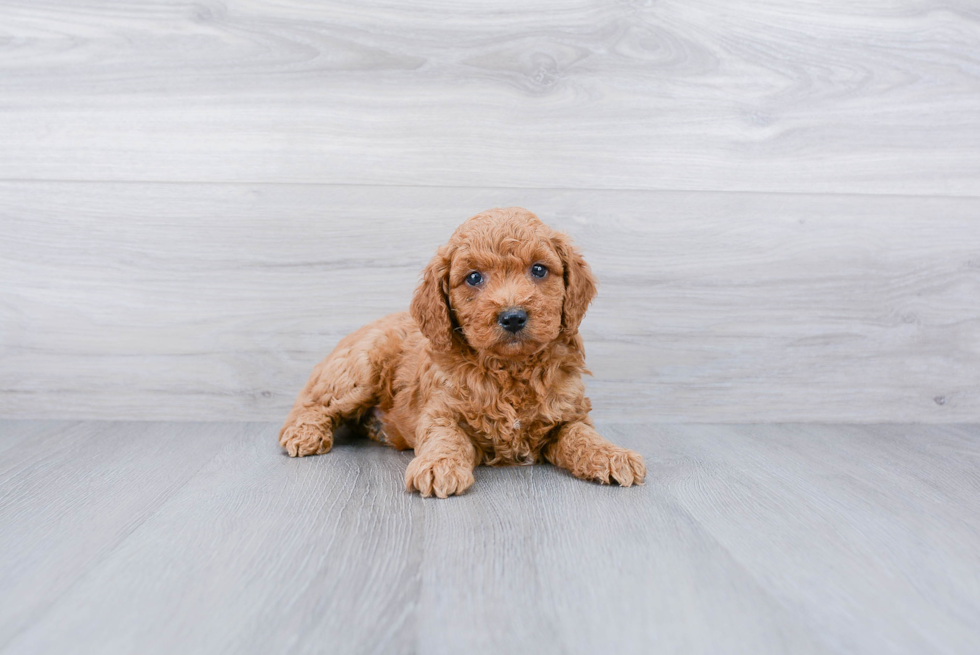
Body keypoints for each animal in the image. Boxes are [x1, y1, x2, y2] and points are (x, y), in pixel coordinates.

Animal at [280, 208, 648, 500]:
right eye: (473, 277)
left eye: (539, 270)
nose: (513, 316)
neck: (510, 369)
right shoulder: (441, 409)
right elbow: (445, 437)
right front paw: (438, 466)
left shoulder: (567, 414)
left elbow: (583, 435)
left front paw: (613, 455)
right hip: (359, 369)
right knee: (312, 402)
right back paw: (304, 433)